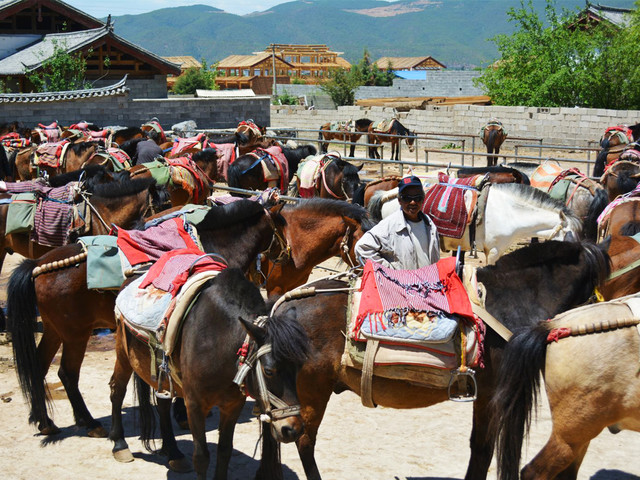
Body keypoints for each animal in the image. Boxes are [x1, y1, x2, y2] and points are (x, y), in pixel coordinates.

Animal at [6, 199, 286, 436]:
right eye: (282, 226)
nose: (287, 254)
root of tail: (37, 265)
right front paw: (181, 414)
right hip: (76, 335)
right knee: (67, 373)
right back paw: (89, 422)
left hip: (55, 331)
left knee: (39, 367)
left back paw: (44, 421)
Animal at [109, 268, 310, 478]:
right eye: (269, 371)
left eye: (299, 366)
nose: (293, 429)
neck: (220, 341)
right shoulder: (195, 405)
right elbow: (201, 457)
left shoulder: (232, 406)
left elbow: (224, 451)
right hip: (123, 355)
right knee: (117, 390)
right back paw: (119, 444)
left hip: (162, 379)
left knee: (162, 406)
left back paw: (173, 453)